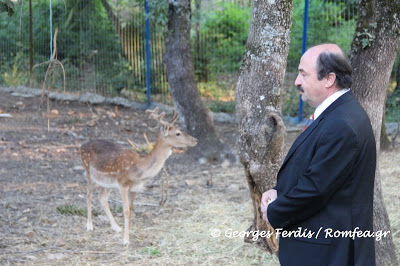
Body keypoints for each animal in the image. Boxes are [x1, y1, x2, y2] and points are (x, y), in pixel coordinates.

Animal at [80, 107, 197, 245]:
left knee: (102, 198)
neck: (140, 169)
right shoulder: (123, 184)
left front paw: (129, 231)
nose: (195, 140)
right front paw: (126, 240)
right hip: (88, 171)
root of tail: (81, 146)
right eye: (178, 133)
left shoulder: (135, 188)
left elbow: (131, 209)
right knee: (88, 195)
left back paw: (117, 227)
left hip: (106, 182)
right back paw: (90, 226)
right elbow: (125, 210)